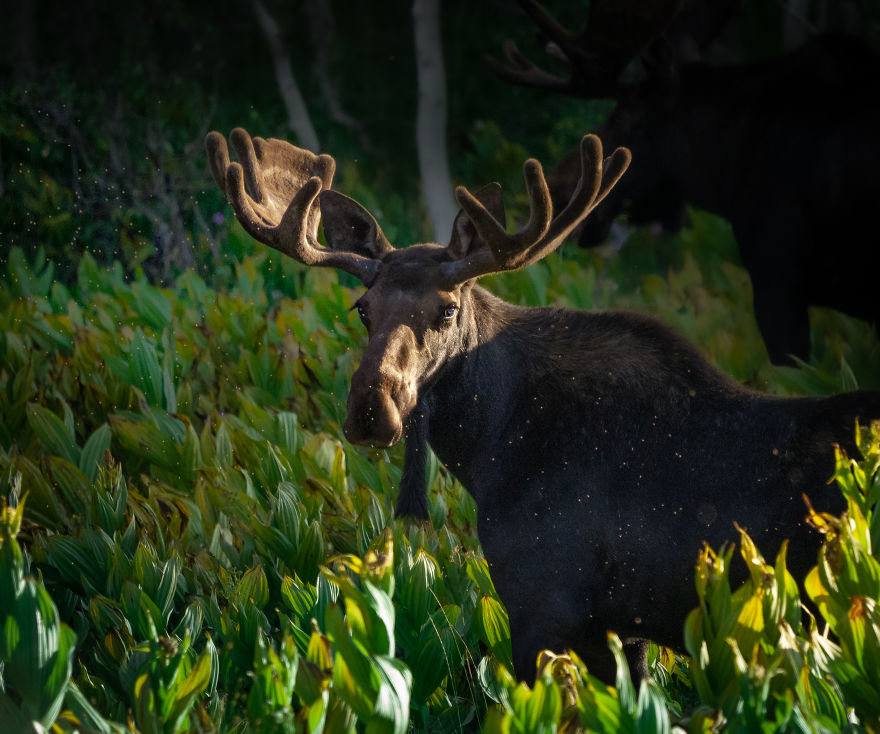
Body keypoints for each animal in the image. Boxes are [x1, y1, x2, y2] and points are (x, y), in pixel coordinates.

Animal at [205, 127, 880, 683]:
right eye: (361, 309)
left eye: (447, 309)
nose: (372, 407)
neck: (490, 452)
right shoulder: (625, 628)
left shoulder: (543, 606)